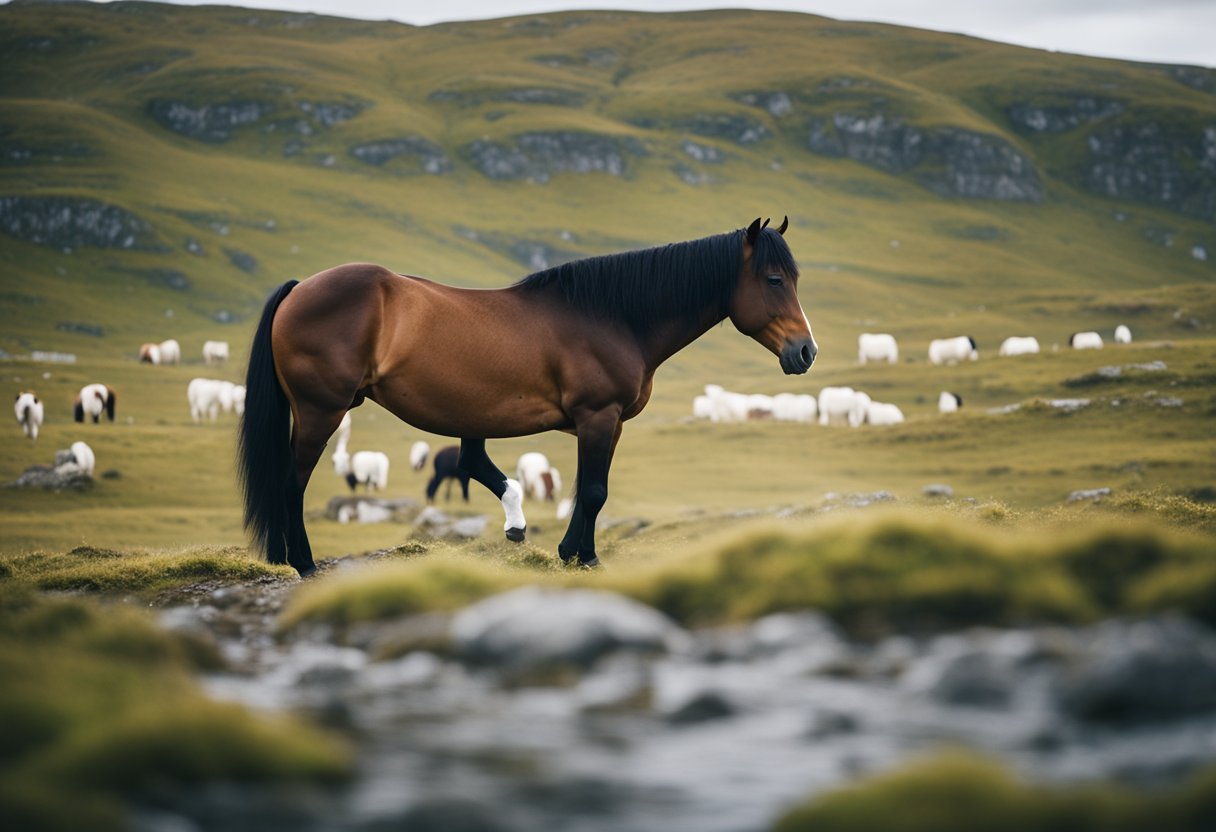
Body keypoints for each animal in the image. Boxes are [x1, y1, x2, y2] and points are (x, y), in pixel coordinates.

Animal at [237, 217, 817, 574]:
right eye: (773, 279)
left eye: (794, 276)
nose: (805, 351)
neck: (611, 315)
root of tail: (300, 288)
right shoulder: (597, 417)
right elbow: (593, 491)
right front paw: (581, 557)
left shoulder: (607, 424)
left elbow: (586, 490)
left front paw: (571, 550)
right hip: (322, 410)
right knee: (291, 482)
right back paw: (304, 563)